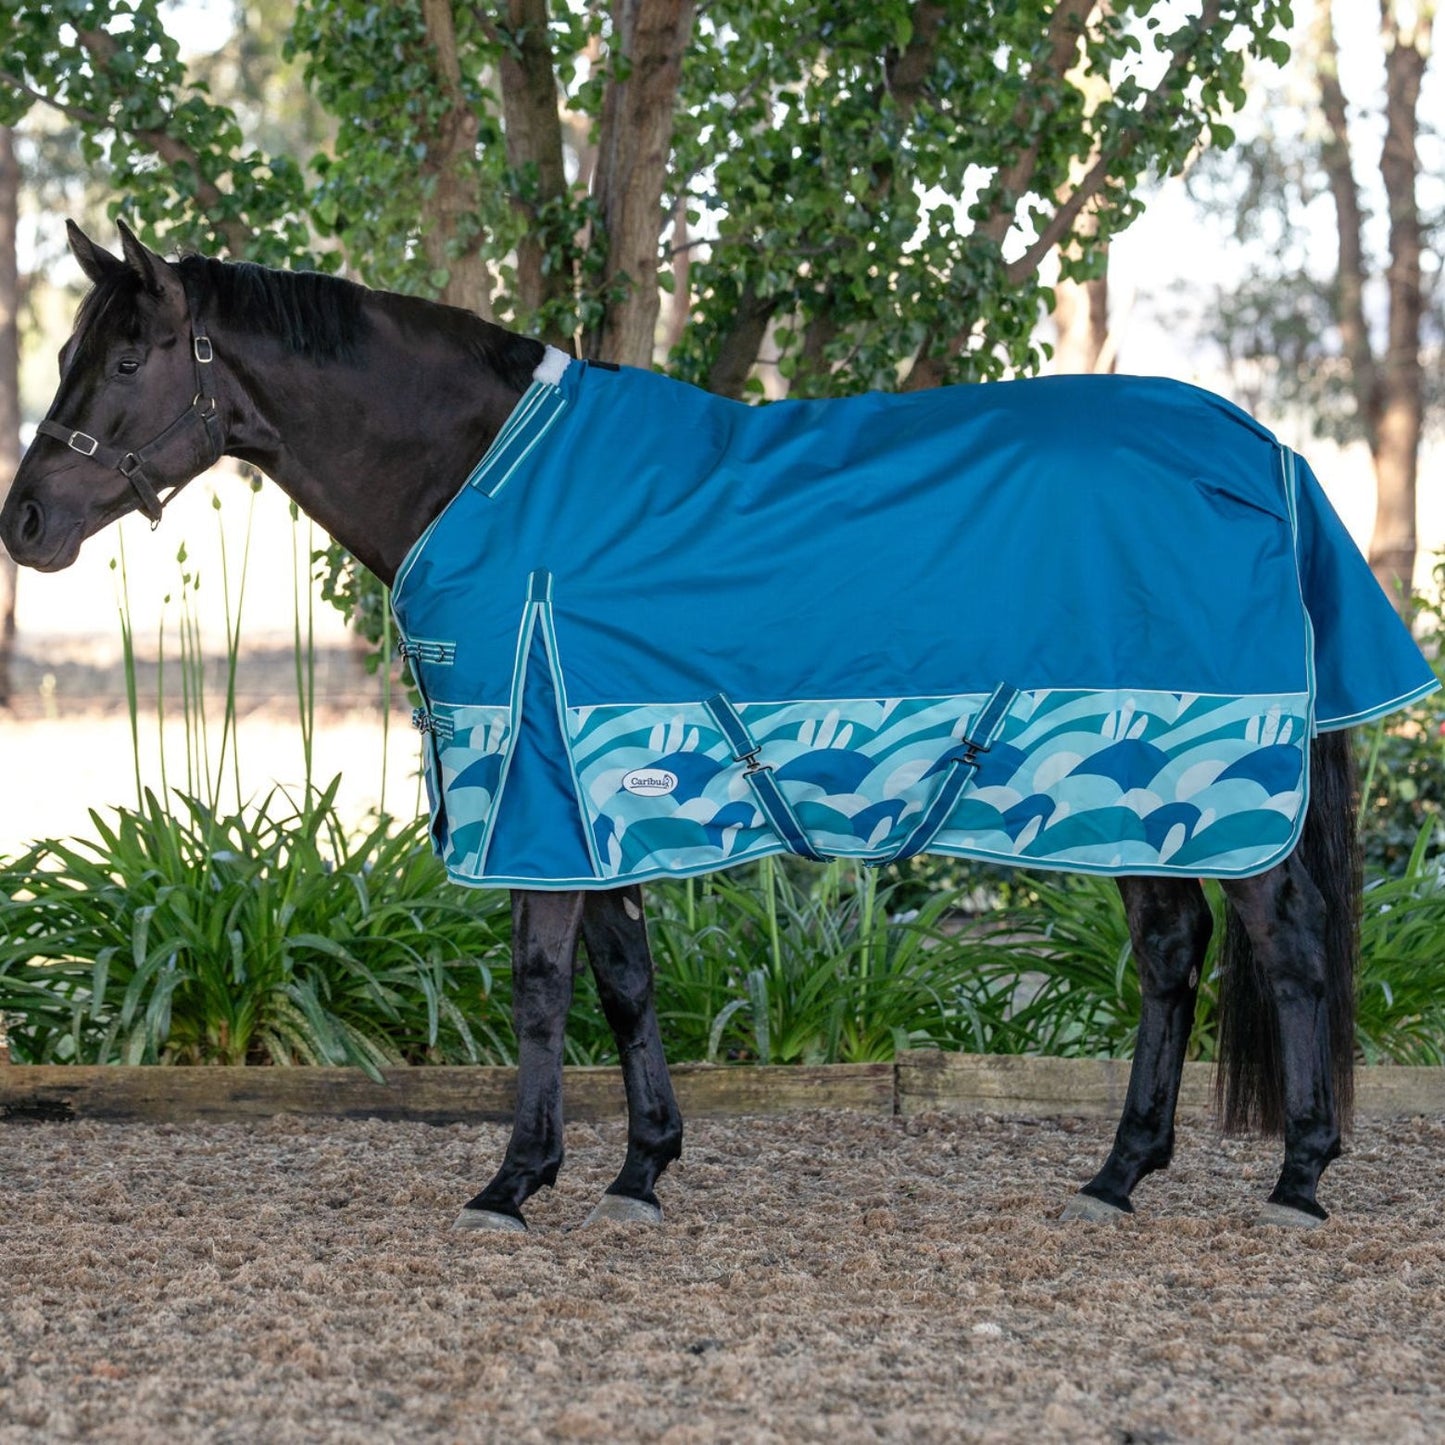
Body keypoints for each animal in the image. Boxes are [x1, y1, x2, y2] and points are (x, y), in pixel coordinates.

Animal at [3, 222, 1434, 1233]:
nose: (26, 524)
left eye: (122, 360)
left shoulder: (536, 784)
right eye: (66, 354)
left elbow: (539, 986)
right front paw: (640, 1169)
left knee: (1285, 948)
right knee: (1170, 955)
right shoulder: (588, 795)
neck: (484, 472)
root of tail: (1263, 451)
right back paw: (1117, 1173)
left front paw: (512, 1180)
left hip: (1216, 788)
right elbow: (625, 979)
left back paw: (1299, 1176)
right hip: (1130, 813)